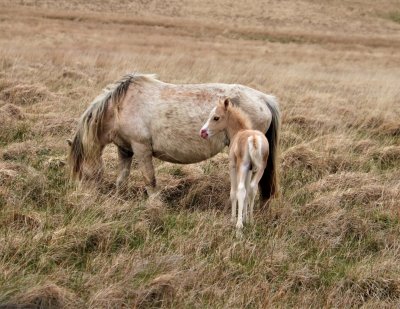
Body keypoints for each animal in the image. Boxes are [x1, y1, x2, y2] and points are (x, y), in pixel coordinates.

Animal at [68, 72, 282, 202]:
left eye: (83, 172)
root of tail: (264, 99)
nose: (82, 198)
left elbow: (150, 179)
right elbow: (122, 179)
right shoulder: (125, 149)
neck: (120, 107)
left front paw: (154, 205)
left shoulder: (141, 149)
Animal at [202, 97, 270, 230]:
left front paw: (234, 219)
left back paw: (239, 225)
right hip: (261, 168)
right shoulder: (250, 169)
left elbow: (233, 192)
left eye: (216, 117)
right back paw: (251, 220)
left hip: (241, 167)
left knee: (241, 190)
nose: (203, 132)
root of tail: (253, 138)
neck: (239, 131)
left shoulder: (232, 166)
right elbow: (248, 191)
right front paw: (245, 217)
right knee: (252, 188)